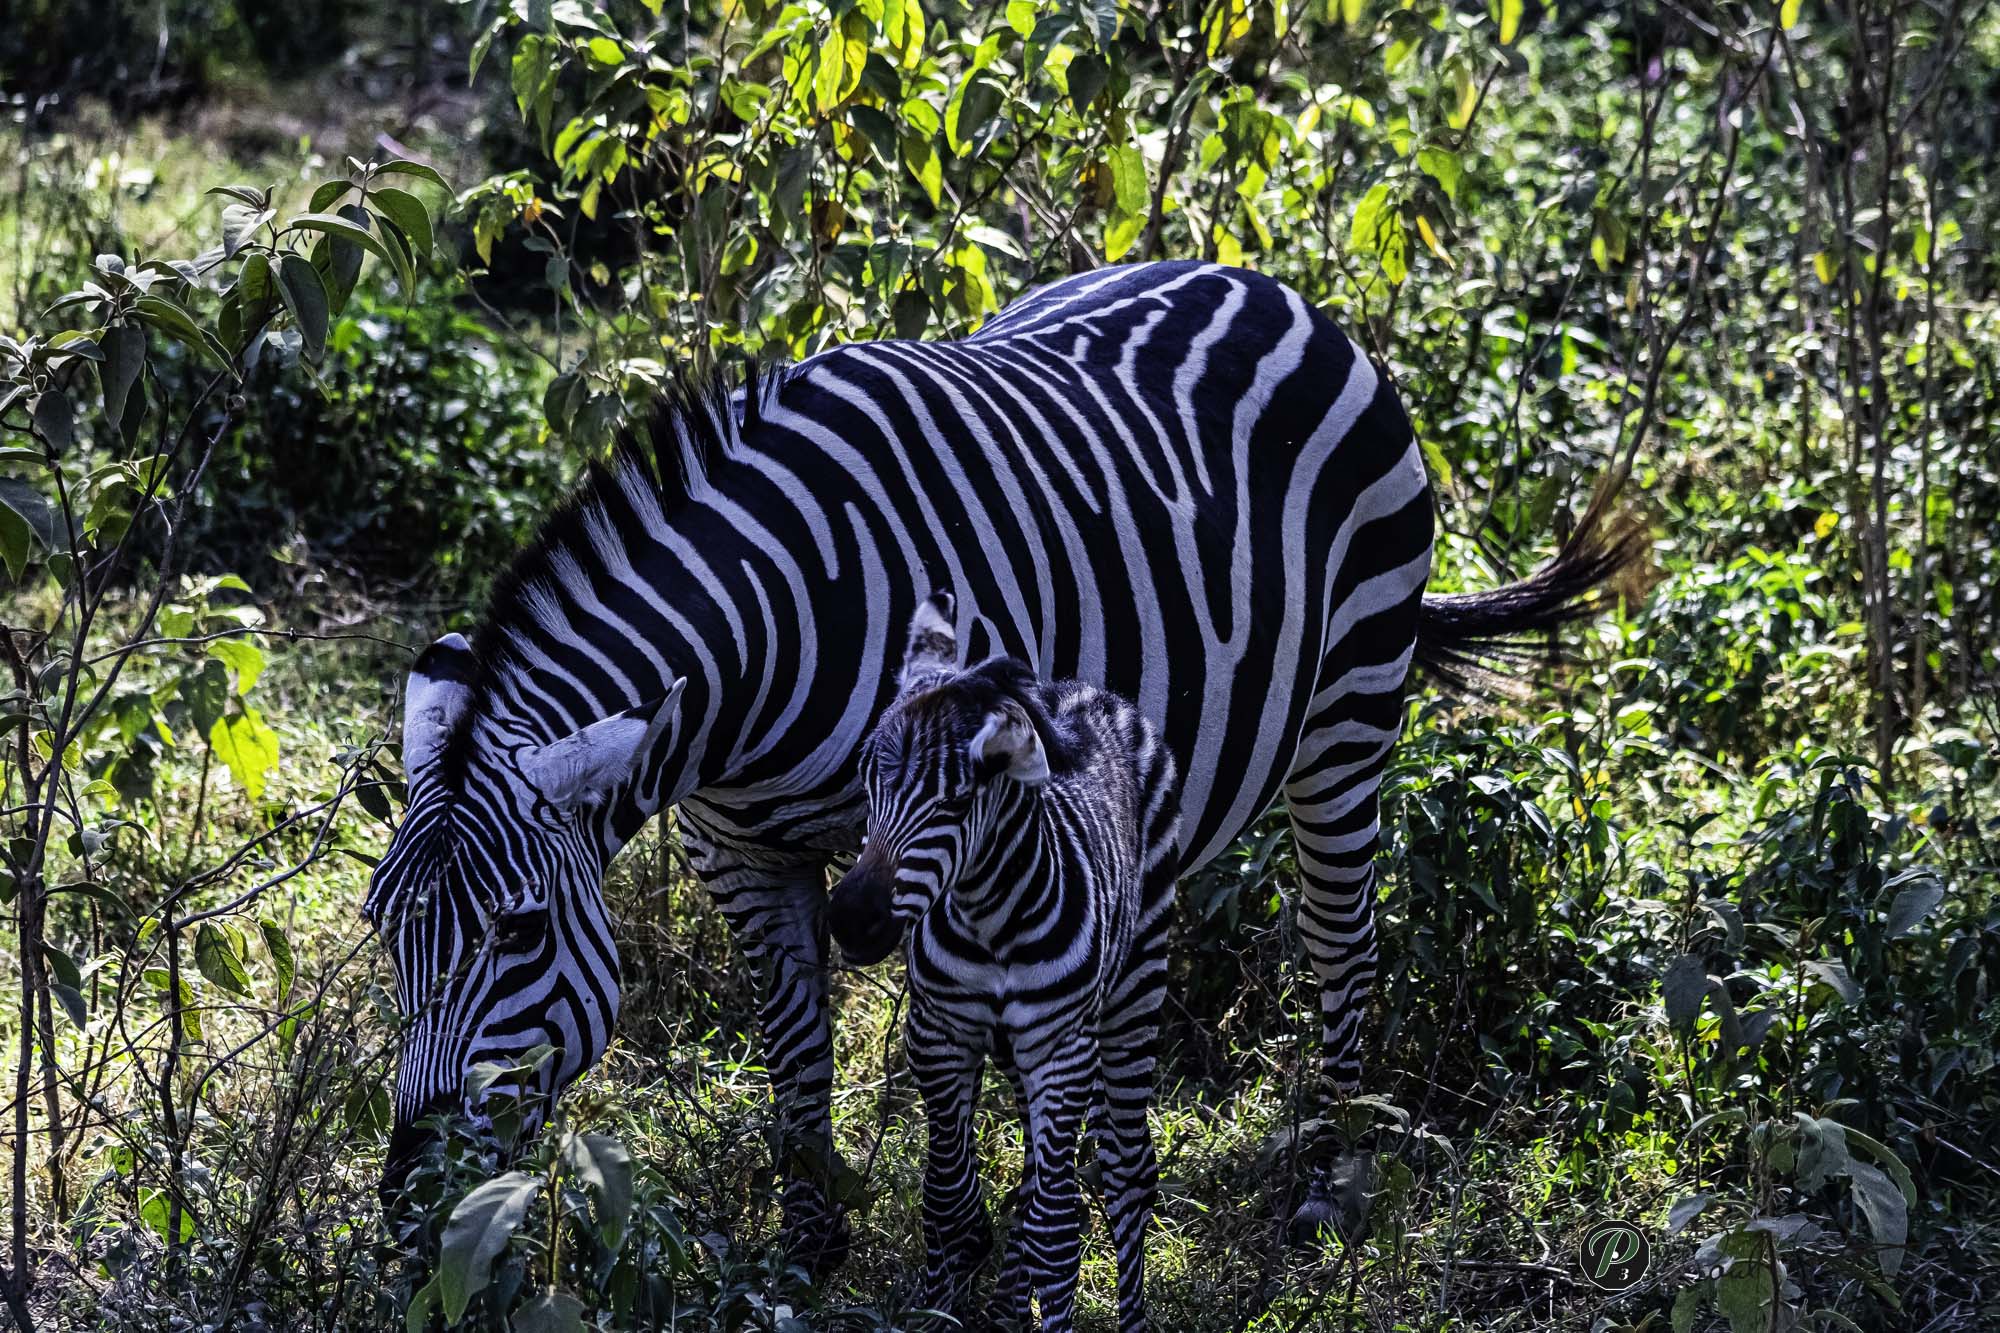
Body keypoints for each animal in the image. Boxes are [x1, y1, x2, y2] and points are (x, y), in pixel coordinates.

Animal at [828, 593, 1179, 1331]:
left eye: (958, 801)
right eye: (866, 784)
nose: (850, 919)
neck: (989, 918)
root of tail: (1087, 688)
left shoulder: (1063, 1049)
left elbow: (1057, 1227)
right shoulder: (938, 1033)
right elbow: (944, 1200)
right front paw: (940, 1308)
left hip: (1137, 980)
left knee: (1127, 1171)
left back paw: (1123, 1314)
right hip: (1022, 1052)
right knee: (1037, 1176)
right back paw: (1010, 1304)